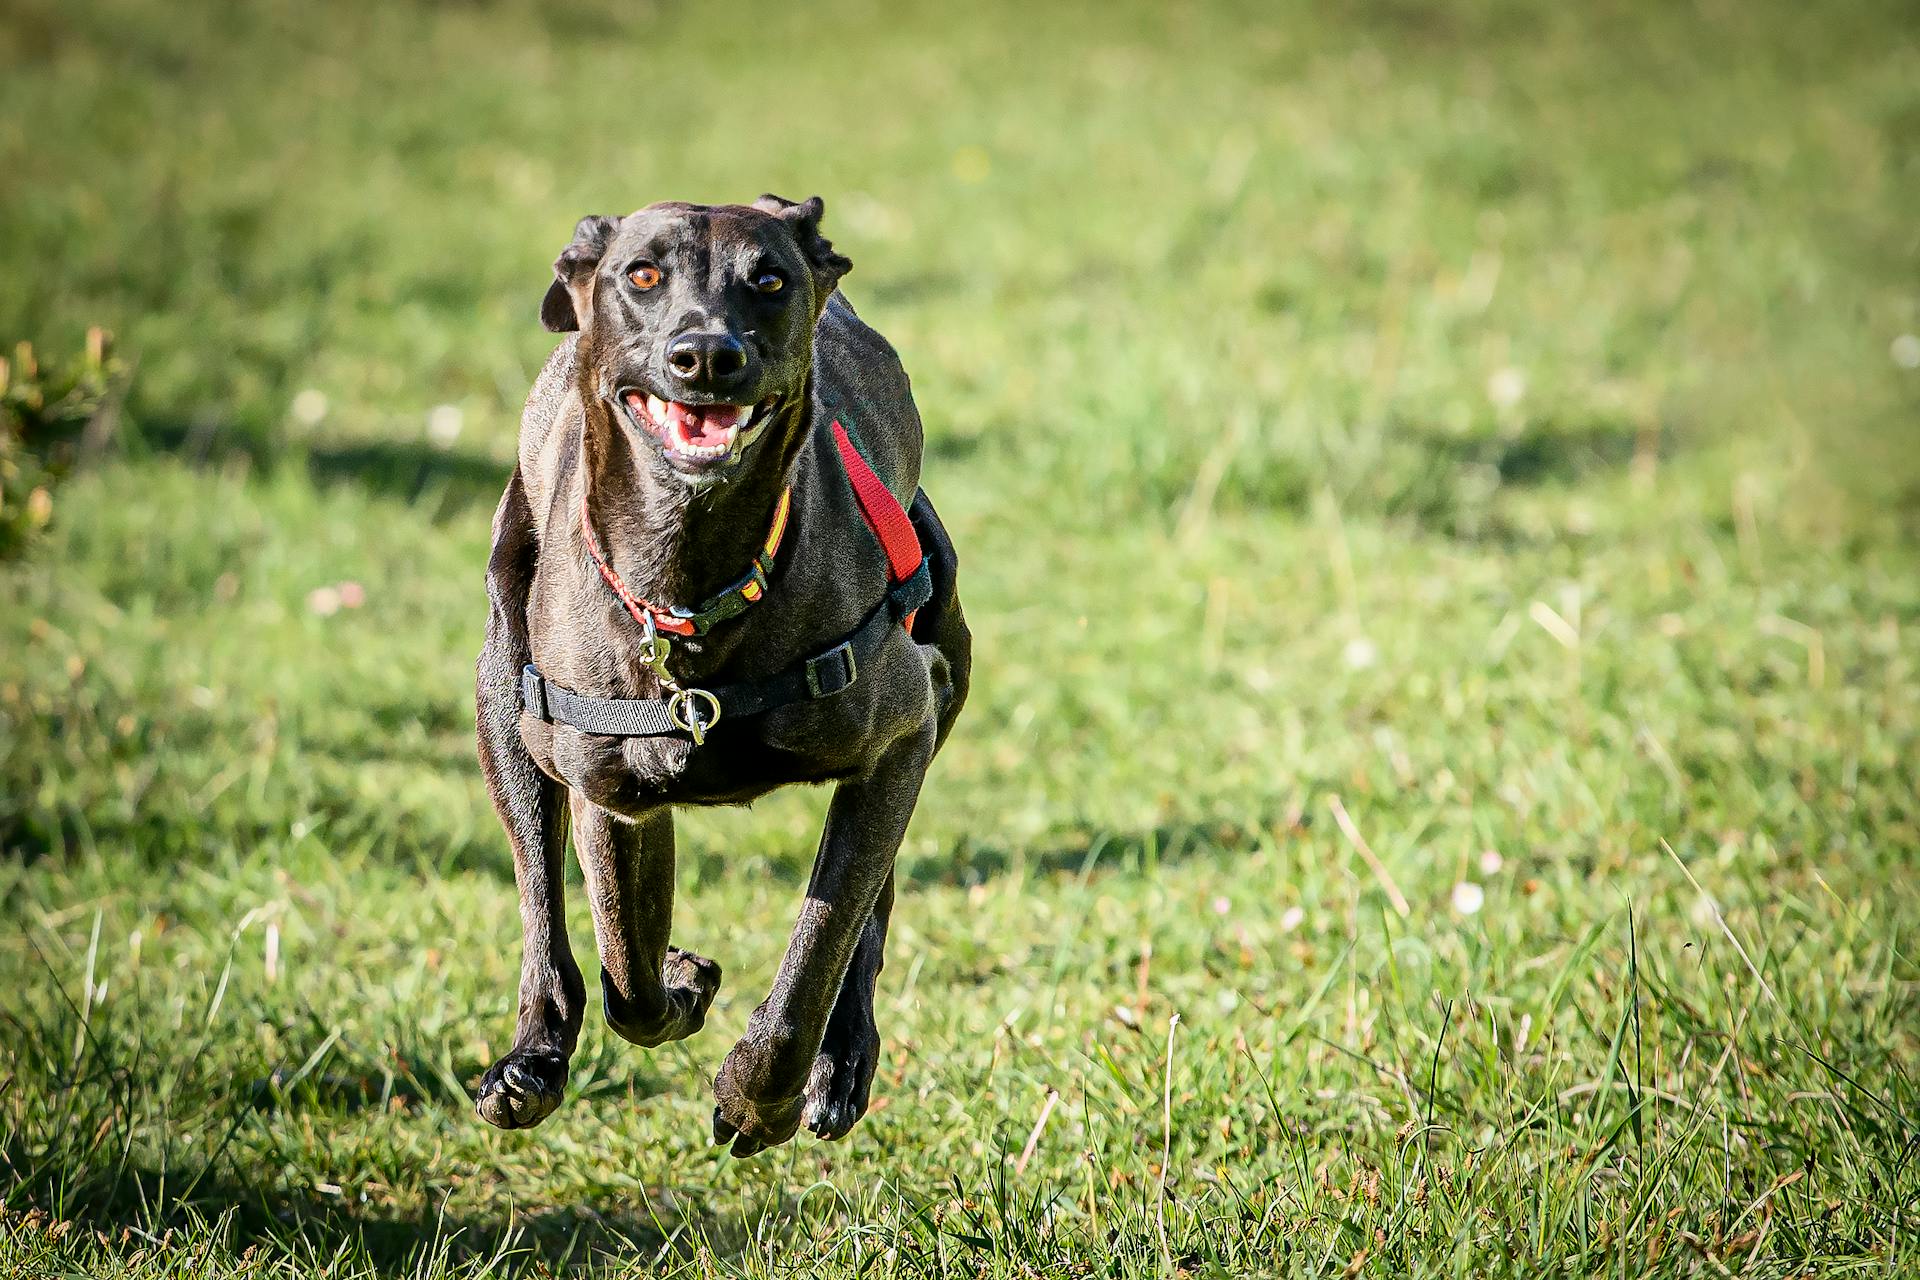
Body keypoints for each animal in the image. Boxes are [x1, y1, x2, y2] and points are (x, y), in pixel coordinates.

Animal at [472, 195, 967, 1159]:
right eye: (643, 275)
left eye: (768, 279)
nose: (706, 355)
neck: (693, 577)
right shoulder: (611, 791)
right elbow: (627, 972)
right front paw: (683, 980)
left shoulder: (901, 733)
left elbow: (821, 944)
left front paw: (756, 1099)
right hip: (503, 700)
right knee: (544, 908)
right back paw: (532, 1060)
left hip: (940, 684)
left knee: (871, 905)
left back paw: (840, 1065)